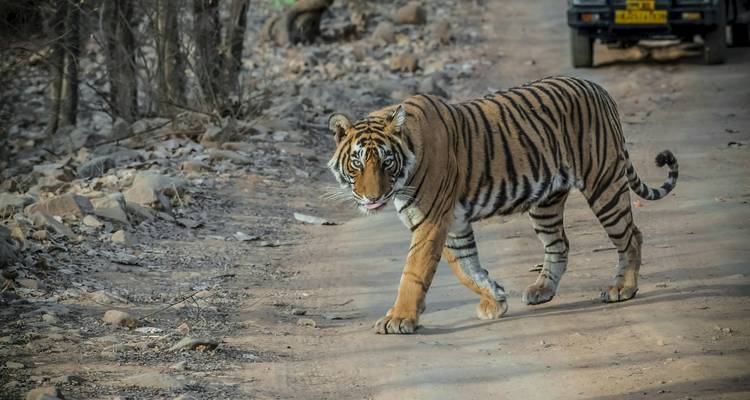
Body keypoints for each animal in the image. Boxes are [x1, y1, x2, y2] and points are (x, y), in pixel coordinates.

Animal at [326, 76, 678, 334]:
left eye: (387, 162)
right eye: (357, 163)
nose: (372, 198)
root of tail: (600, 89)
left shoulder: (431, 221)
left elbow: (414, 271)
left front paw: (399, 318)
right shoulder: (452, 223)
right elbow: (466, 267)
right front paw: (494, 299)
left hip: (603, 183)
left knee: (632, 236)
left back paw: (622, 288)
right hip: (546, 202)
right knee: (560, 244)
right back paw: (542, 290)